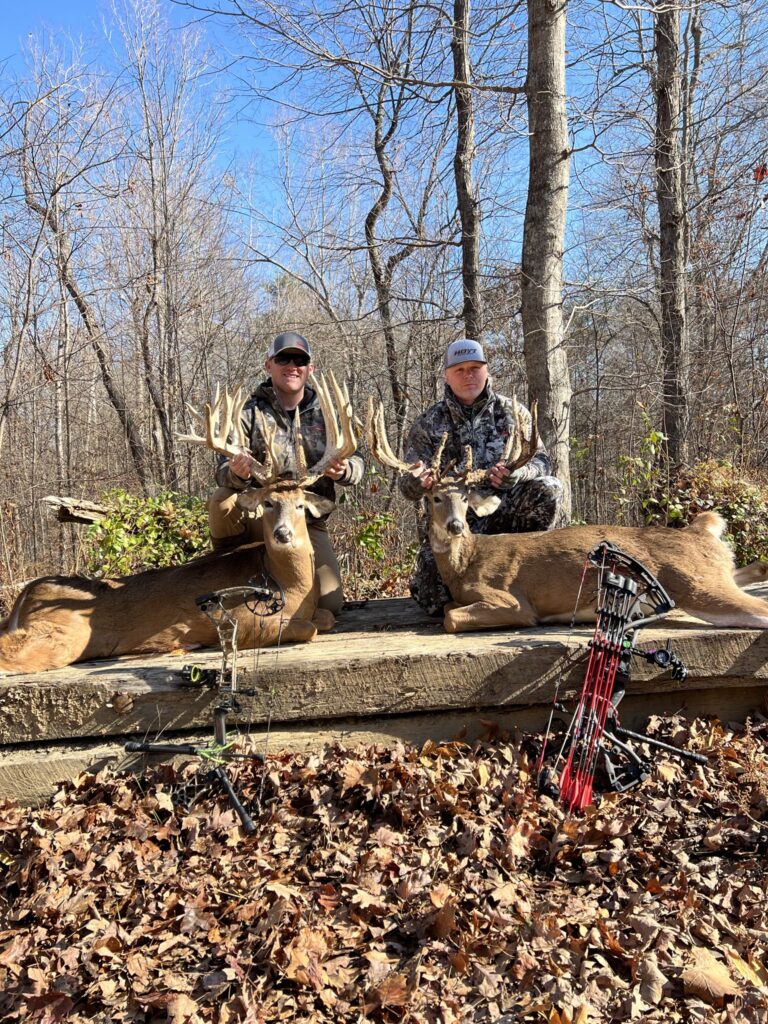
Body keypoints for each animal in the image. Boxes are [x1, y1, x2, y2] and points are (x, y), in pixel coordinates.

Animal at [0, 372, 356, 674]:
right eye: (268, 503)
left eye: (300, 505)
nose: (283, 534)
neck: (289, 581)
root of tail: (30, 591)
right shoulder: (246, 621)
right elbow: (311, 627)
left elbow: (325, 616)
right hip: (60, 635)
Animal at [365, 397, 768, 633]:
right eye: (433, 497)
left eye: (465, 498)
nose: (455, 525)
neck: (465, 565)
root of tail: (702, 530)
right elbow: (448, 604)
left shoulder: (512, 601)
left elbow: (450, 616)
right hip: (714, 575)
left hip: (696, 583)